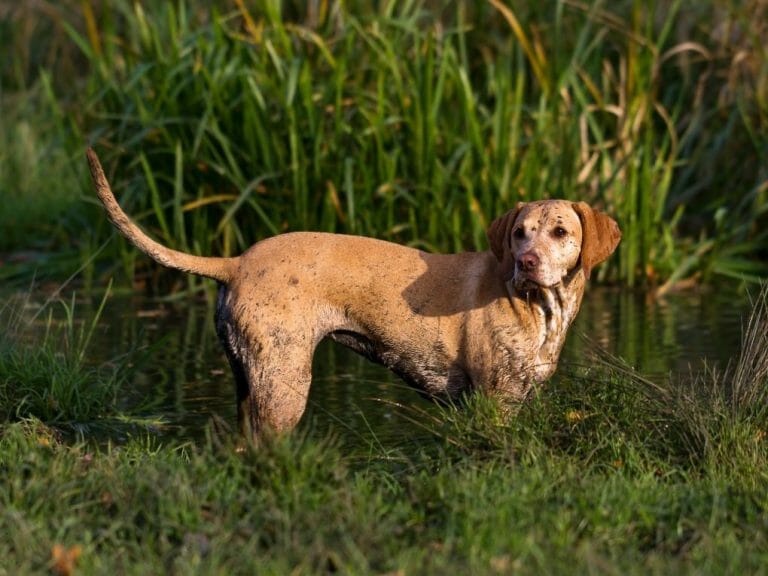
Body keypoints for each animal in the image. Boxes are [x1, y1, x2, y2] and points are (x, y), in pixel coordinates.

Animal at [87, 150, 620, 440]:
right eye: (519, 234)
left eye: (560, 231)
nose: (526, 263)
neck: (539, 309)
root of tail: (235, 262)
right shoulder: (495, 401)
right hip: (284, 383)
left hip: (248, 380)